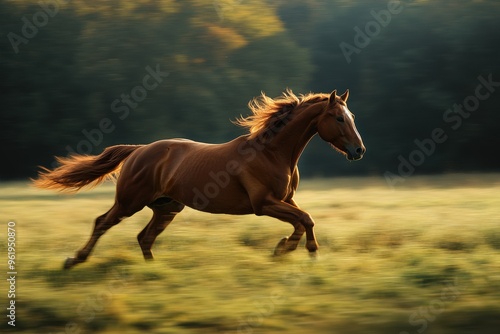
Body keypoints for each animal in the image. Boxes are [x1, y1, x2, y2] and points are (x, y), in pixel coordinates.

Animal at [33, 88, 366, 268]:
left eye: (352, 117)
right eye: (339, 118)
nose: (359, 150)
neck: (272, 153)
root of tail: (139, 150)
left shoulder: (285, 200)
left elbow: (303, 220)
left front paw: (285, 248)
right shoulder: (264, 204)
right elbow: (306, 219)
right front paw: (296, 251)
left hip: (167, 207)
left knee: (145, 237)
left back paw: (153, 273)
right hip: (130, 202)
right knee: (102, 223)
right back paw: (74, 260)